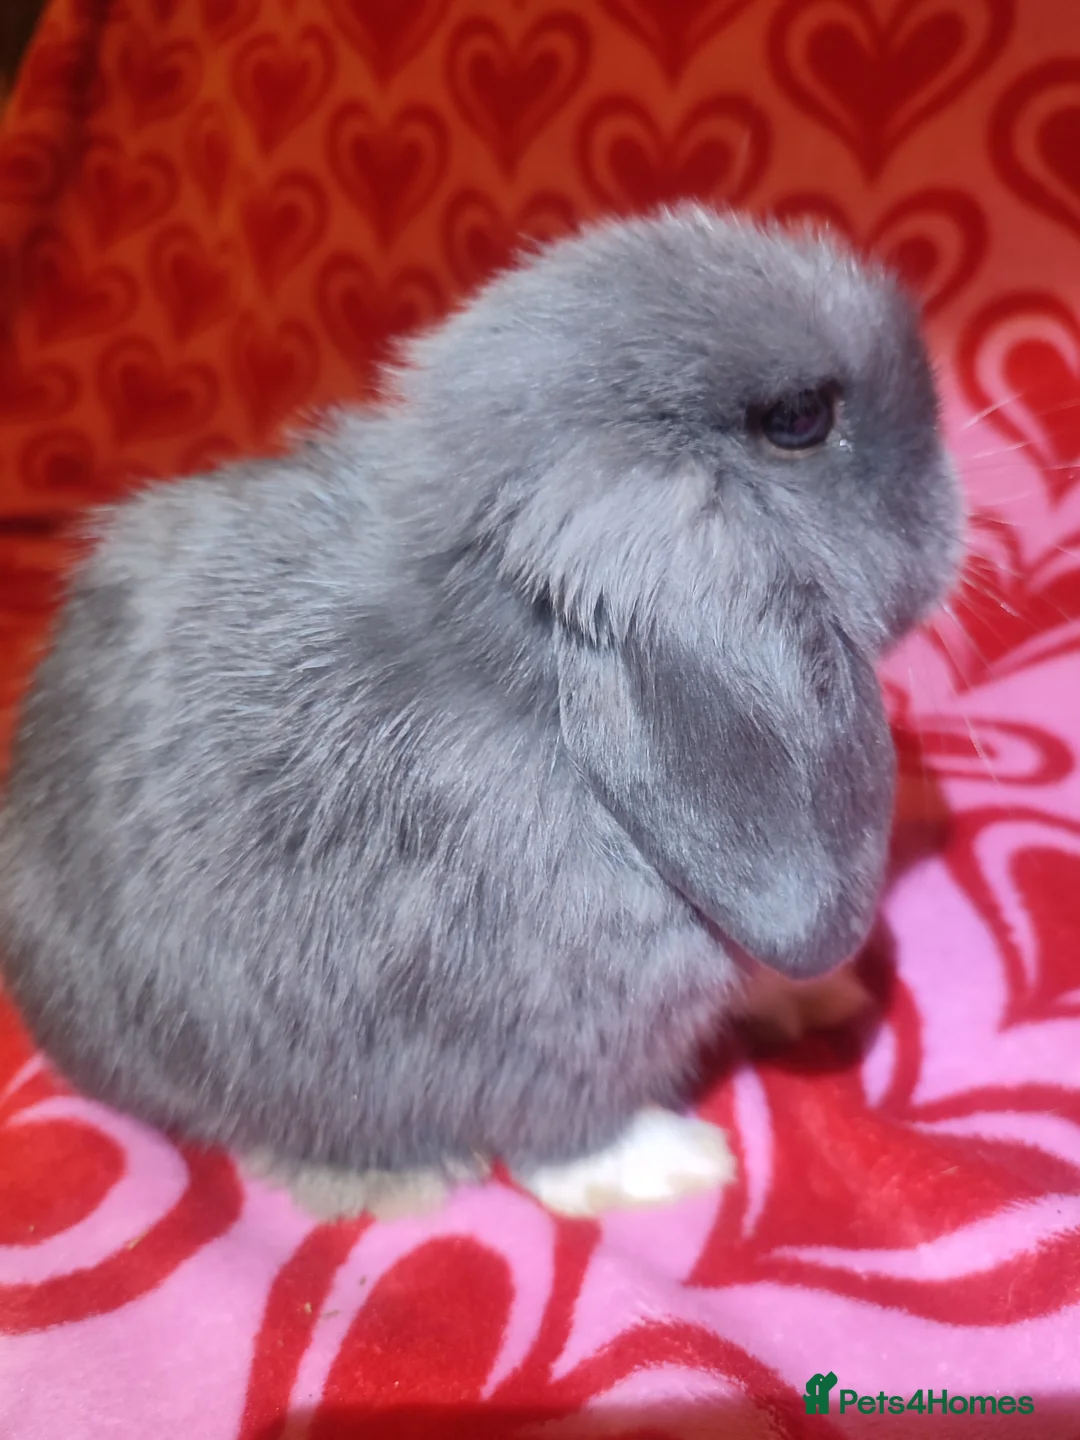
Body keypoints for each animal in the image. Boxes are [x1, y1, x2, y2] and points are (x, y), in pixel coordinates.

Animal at [0, 204, 963, 1220]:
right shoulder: (555, 1033)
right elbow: (566, 1136)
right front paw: (679, 1164)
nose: (954, 496)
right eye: (799, 420)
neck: (522, 671)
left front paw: (817, 995)